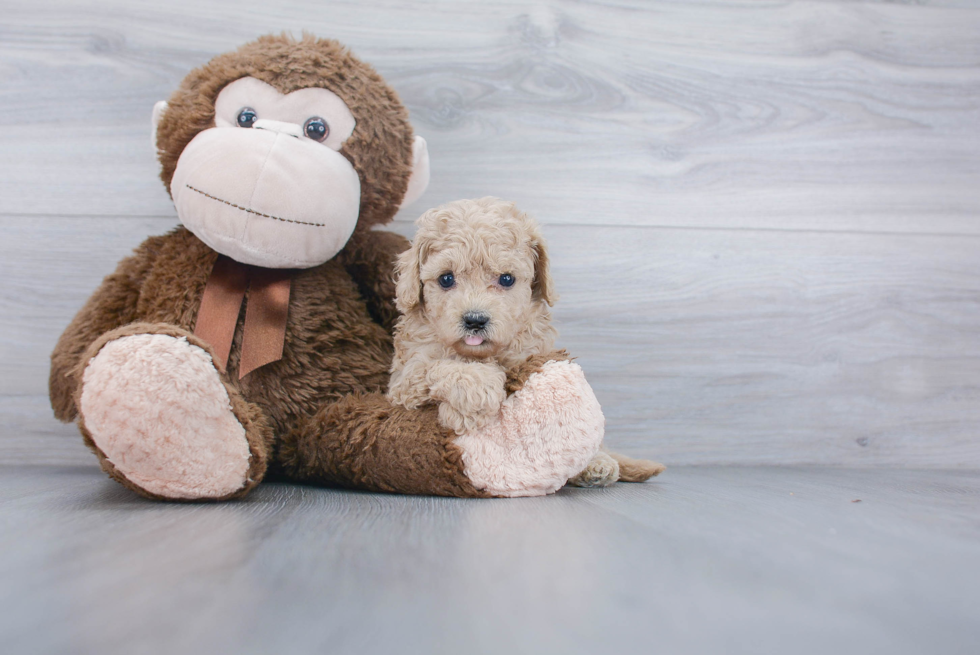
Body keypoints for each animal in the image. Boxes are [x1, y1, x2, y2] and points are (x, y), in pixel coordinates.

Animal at [386, 197, 664, 490]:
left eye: (506, 278)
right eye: (446, 278)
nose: (475, 320)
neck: (484, 353)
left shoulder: (530, 355)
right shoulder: (404, 381)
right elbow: (441, 365)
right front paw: (474, 399)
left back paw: (597, 464)